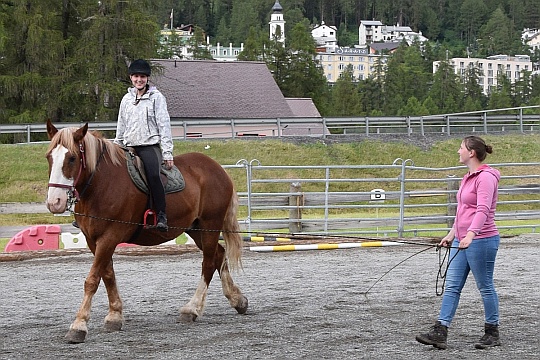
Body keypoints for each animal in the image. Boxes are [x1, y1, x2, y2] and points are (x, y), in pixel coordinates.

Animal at [45, 120, 248, 344]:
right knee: (219, 255)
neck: (101, 185)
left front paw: (79, 325)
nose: (55, 202)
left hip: (209, 224)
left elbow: (92, 280)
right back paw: (238, 300)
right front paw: (114, 316)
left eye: (72, 158)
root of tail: (218, 169)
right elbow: (107, 275)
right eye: (49, 157)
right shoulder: (93, 240)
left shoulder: (109, 237)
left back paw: (192, 308)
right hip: (196, 229)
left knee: (209, 263)